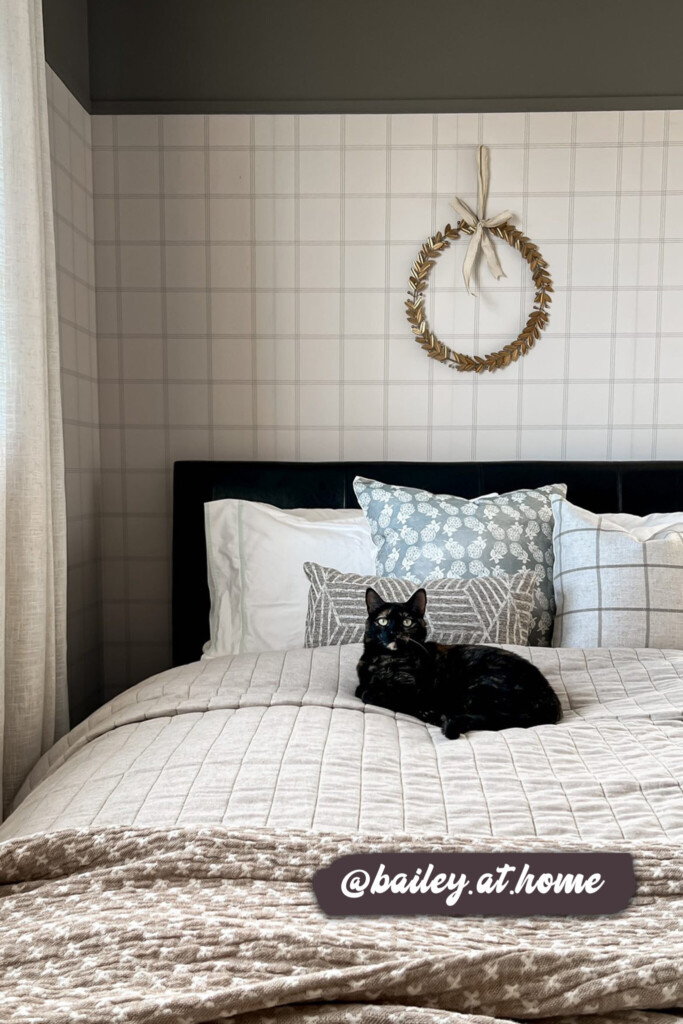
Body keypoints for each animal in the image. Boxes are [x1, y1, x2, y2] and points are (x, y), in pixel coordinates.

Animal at [356, 589, 565, 741]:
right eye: (383, 621)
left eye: (407, 622)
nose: (393, 632)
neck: (385, 658)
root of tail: (550, 699)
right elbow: (363, 689)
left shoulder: (412, 689)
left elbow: (373, 694)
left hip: (479, 685)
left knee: (491, 718)